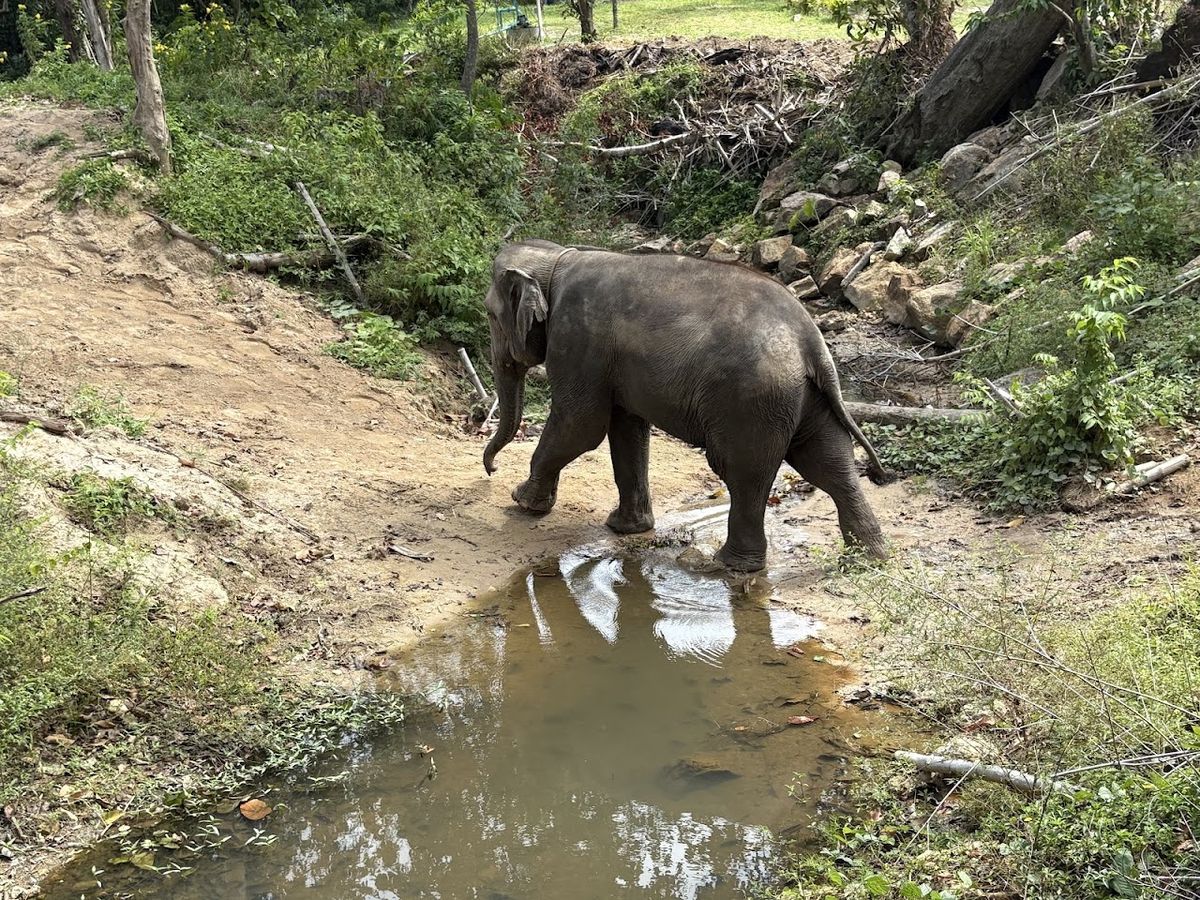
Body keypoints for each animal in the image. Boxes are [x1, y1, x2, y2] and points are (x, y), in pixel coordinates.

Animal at [481, 239, 888, 571]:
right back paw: (868, 559)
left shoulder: (576, 338)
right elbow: (627, 428)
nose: (491, 469)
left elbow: (580, 424)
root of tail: (811, 341)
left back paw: (726, 565)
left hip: (752, 402)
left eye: (489, 315)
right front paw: (625, 528)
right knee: (829, 463)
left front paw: (521, 502)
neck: (558, 257)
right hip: (804, 398)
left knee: (741, 471)